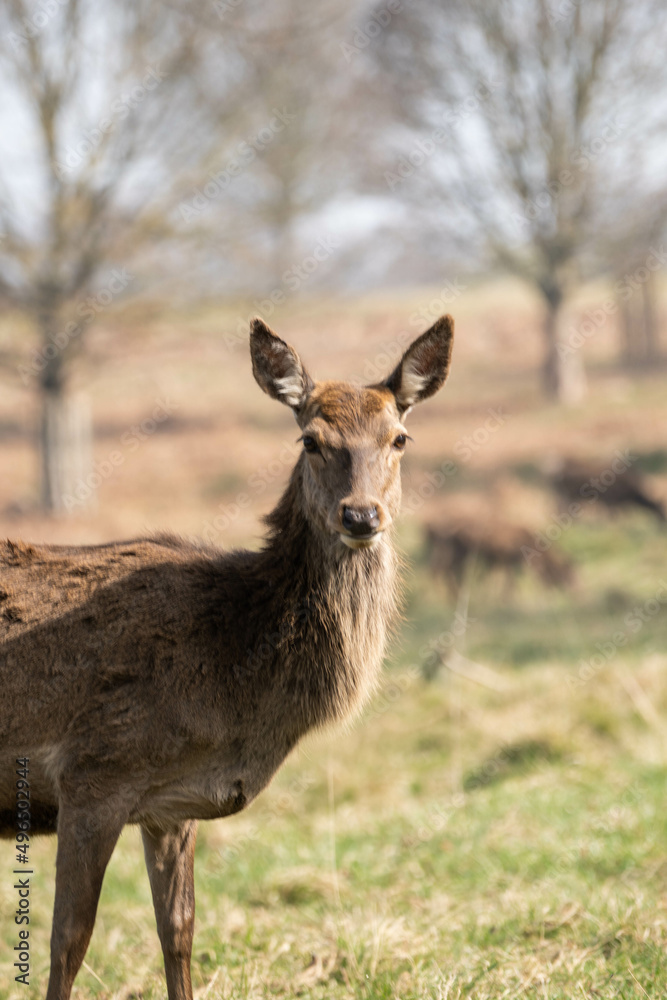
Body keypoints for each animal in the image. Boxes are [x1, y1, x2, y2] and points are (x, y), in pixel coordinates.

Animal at [0, 316, 454, 1000]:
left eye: (399, 437)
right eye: (311, 440)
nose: (360, 514)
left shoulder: (169, 805)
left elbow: (179, 933)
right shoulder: (91, 772)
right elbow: (68, 942)